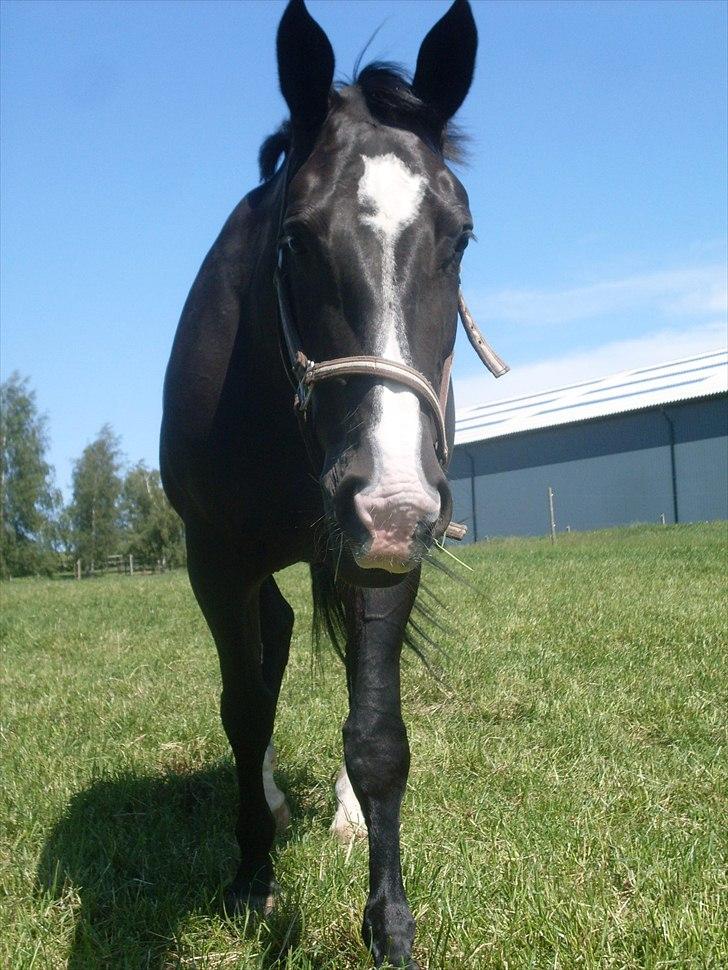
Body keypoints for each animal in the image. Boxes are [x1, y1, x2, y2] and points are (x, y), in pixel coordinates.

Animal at [161, 1, 484, 960]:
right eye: (296, 238)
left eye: (460, 237)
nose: (390, 500)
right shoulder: (216, 559)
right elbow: (243, 709)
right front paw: (250, 877)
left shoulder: (386, 553)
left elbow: (376, 734)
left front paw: (390, 924)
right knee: (265, 660)